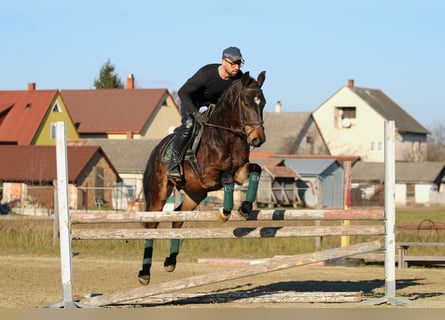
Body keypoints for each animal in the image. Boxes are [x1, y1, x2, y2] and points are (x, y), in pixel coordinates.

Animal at [137, 70, 266, 284]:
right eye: (247, 103)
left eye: (262, 103)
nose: (258, 139)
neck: (228, 136)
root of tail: (156, 149)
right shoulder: (208, 175)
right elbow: (227, 178)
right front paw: (224, 213)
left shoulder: (240, 171)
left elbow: (256, 169)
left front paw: (245, 208)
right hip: (158, 194)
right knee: (152, 224)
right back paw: (144, 273)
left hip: (195, 194)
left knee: (178, 217)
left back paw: (170, 261)